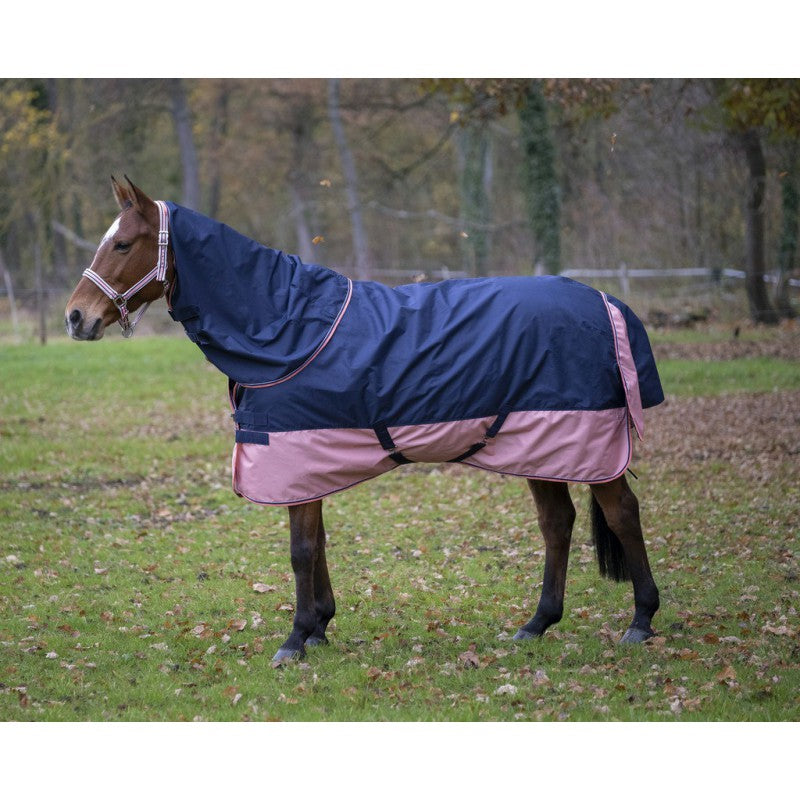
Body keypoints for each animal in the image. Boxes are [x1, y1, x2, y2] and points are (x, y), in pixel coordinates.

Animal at [66, 177, 663, 665]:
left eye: (122, 244)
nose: (75, 317)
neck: (284, 326)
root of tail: (604, 301)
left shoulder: (294, 459)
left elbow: (301, 550)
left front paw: (295, 638)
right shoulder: (307, 461)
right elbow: (319, 542)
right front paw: (319, 627)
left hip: (588, 447)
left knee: (623, 514)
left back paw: (641, 621)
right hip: (541, 445)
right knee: (556, 523)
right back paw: (537, 624)